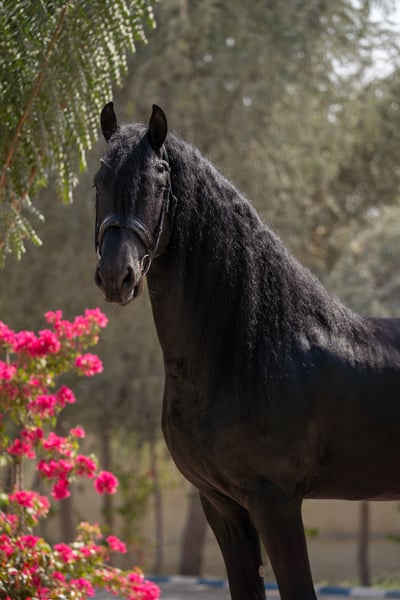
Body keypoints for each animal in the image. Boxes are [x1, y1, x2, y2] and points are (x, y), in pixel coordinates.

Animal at [94, 102, 400, 600]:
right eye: (99, 181)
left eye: (158, 183)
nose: (116, 276)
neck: (246, 354)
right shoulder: (221, 504)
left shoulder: (275, 501)